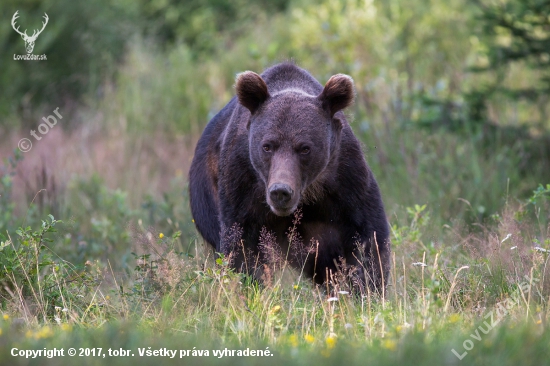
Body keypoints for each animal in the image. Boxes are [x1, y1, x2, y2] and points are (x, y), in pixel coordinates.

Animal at [190, 61, 392, 294]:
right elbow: (241, 246)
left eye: (305, 148)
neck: (309, 193)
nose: (280, 191)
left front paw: (367, 287)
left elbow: (368, 238)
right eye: (267, 146)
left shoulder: (345, 179)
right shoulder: (242, 183)